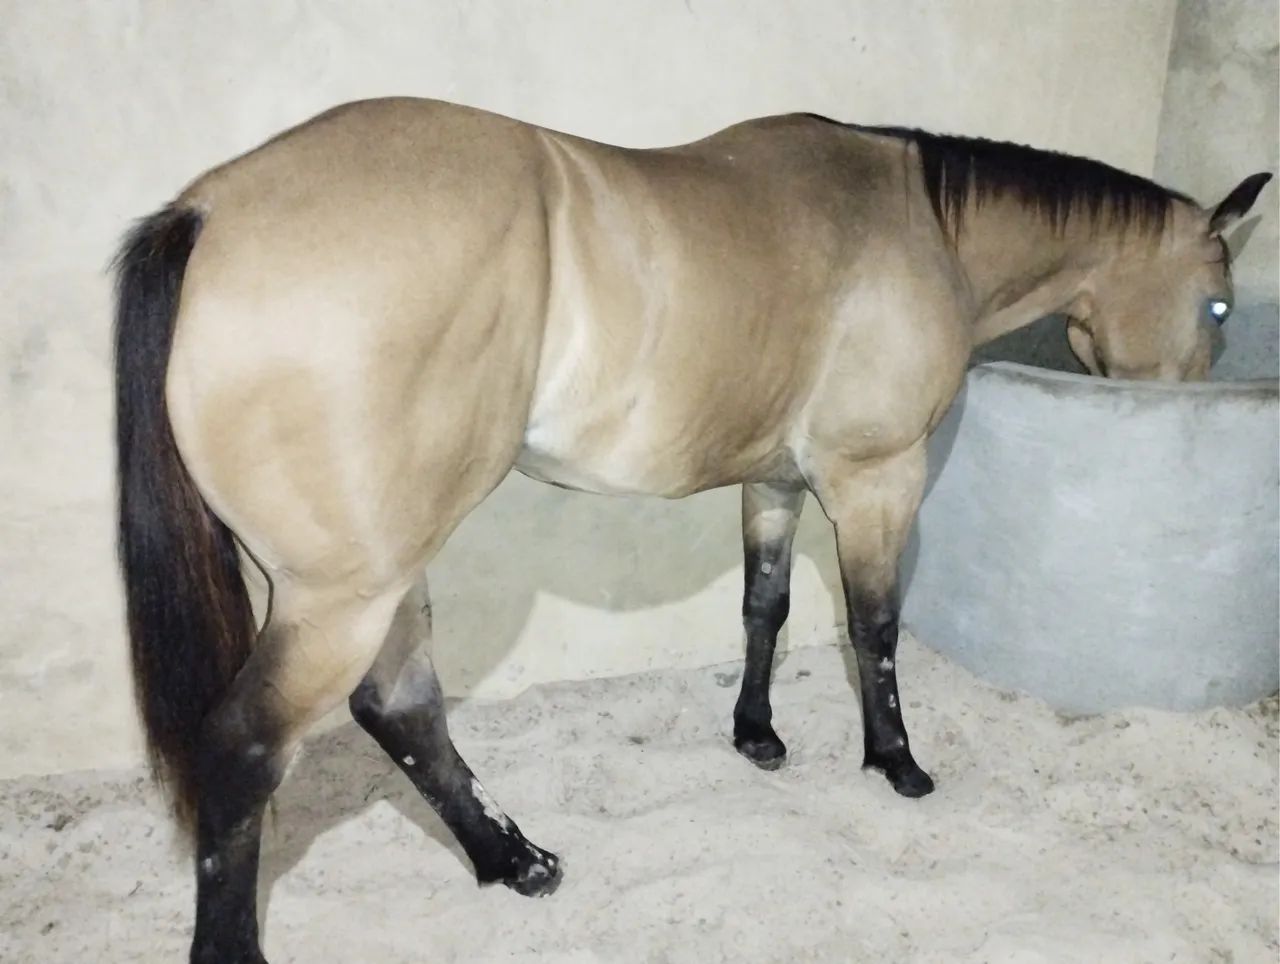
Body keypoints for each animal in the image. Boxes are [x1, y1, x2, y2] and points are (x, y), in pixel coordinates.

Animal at [112, 96, 1269, 963]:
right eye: (1217, 306)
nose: (1183, 418)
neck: (916, 225)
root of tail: (208, 211)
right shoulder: (874, 482)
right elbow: (874, 626)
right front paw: (894, 761)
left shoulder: (773, 482)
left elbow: (766, 604)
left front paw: (756, 734)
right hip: (345, 590)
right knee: (249, 748)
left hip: (383, 573)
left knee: (400, 708)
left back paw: (515, 861)